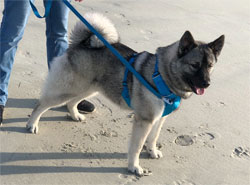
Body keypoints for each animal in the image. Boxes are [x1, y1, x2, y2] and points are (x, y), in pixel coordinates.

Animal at [26, 12, 226, 175]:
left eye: (210, 65)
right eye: (194, 65)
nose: (207, 83)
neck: (162, 75)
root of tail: (81, 43)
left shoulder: (159, 119)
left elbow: (153, 138)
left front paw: (152, 151)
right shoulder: (144, 121)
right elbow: (136, 146)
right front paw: (134, 167)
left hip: (90, 88)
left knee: (71, 102)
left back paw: (75, 115)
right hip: (70, 89)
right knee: (41, 104)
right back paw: (32, 124)